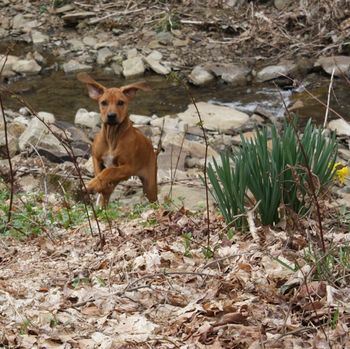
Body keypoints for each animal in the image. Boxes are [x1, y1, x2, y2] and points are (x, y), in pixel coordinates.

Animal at [78, 72, 158, 205]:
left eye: (121, 102)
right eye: (103, 102)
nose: (111, 116)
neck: (112, 136)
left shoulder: (127, 168)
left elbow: (109, 171)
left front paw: (93, 184)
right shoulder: (96, 158)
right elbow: (101, 173)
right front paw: (96, 185)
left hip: (149, 186)